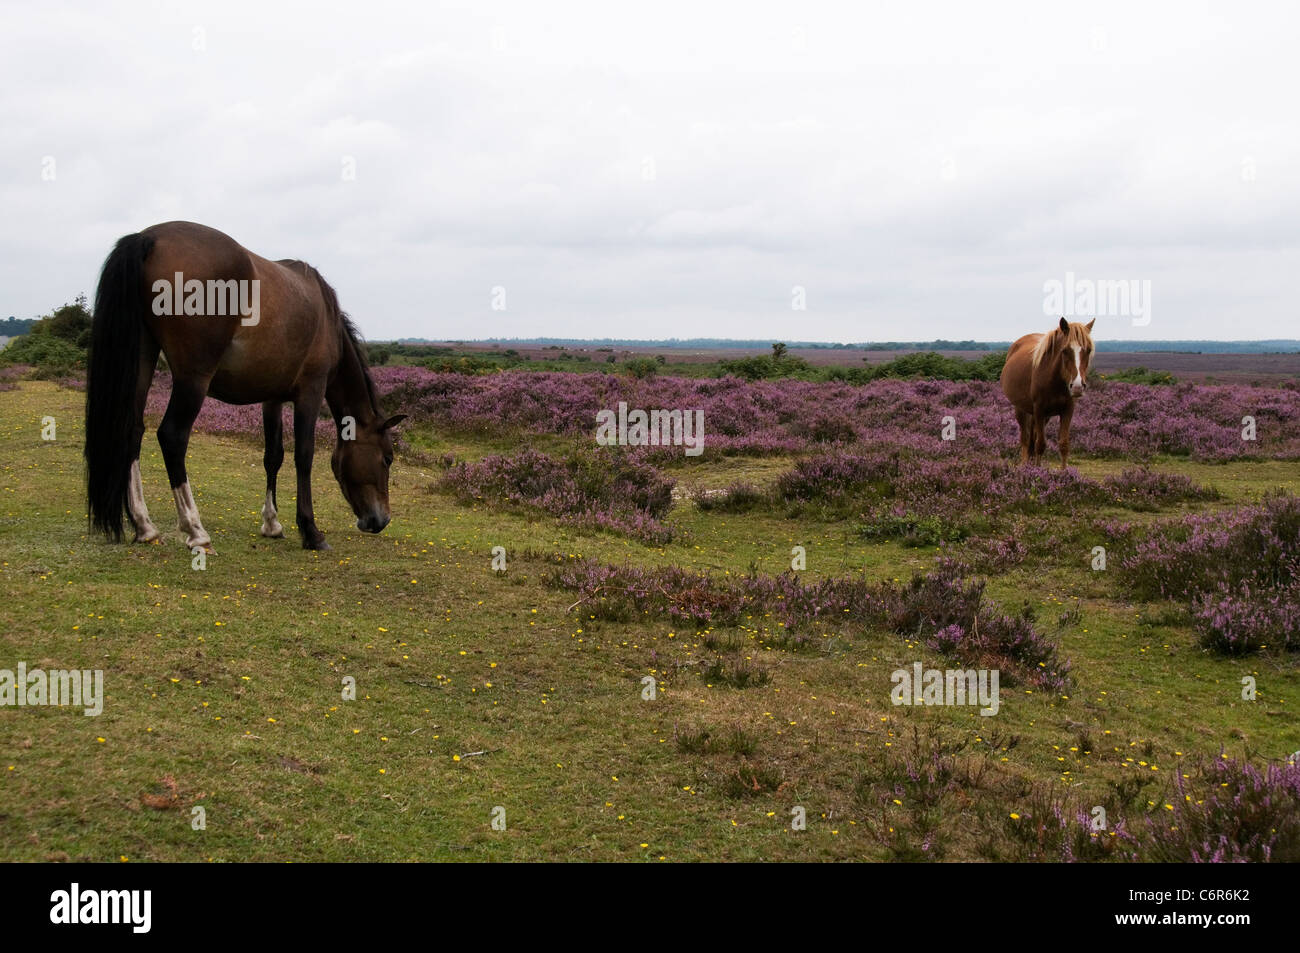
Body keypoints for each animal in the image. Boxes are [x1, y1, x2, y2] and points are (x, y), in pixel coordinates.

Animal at [85, 221, 405, 552]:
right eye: (387, 458)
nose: (380, 520)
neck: (326, 318)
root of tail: (149, 237)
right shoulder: (311, 393)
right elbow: (303, 455)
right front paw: (310, 531)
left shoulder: (272, 399)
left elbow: (273, 456)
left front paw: (272, 524)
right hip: (193, 379)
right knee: (172, 436)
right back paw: (196, 530)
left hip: (142, 360)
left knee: (133, 430)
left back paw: (144, 525)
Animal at [1000, 317, 1095, 467]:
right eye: (1065, 350)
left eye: (1089, 350)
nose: (1077, 386)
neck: (1055, 381)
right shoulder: (1039, 409)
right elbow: (1040, 444)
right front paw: (1037, 470)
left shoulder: (1067, 410)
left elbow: (1063, 445)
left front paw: (1064, 472)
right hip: (1021, 409)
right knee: (1025, 438)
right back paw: (1025, 464)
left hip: (1045, 416)